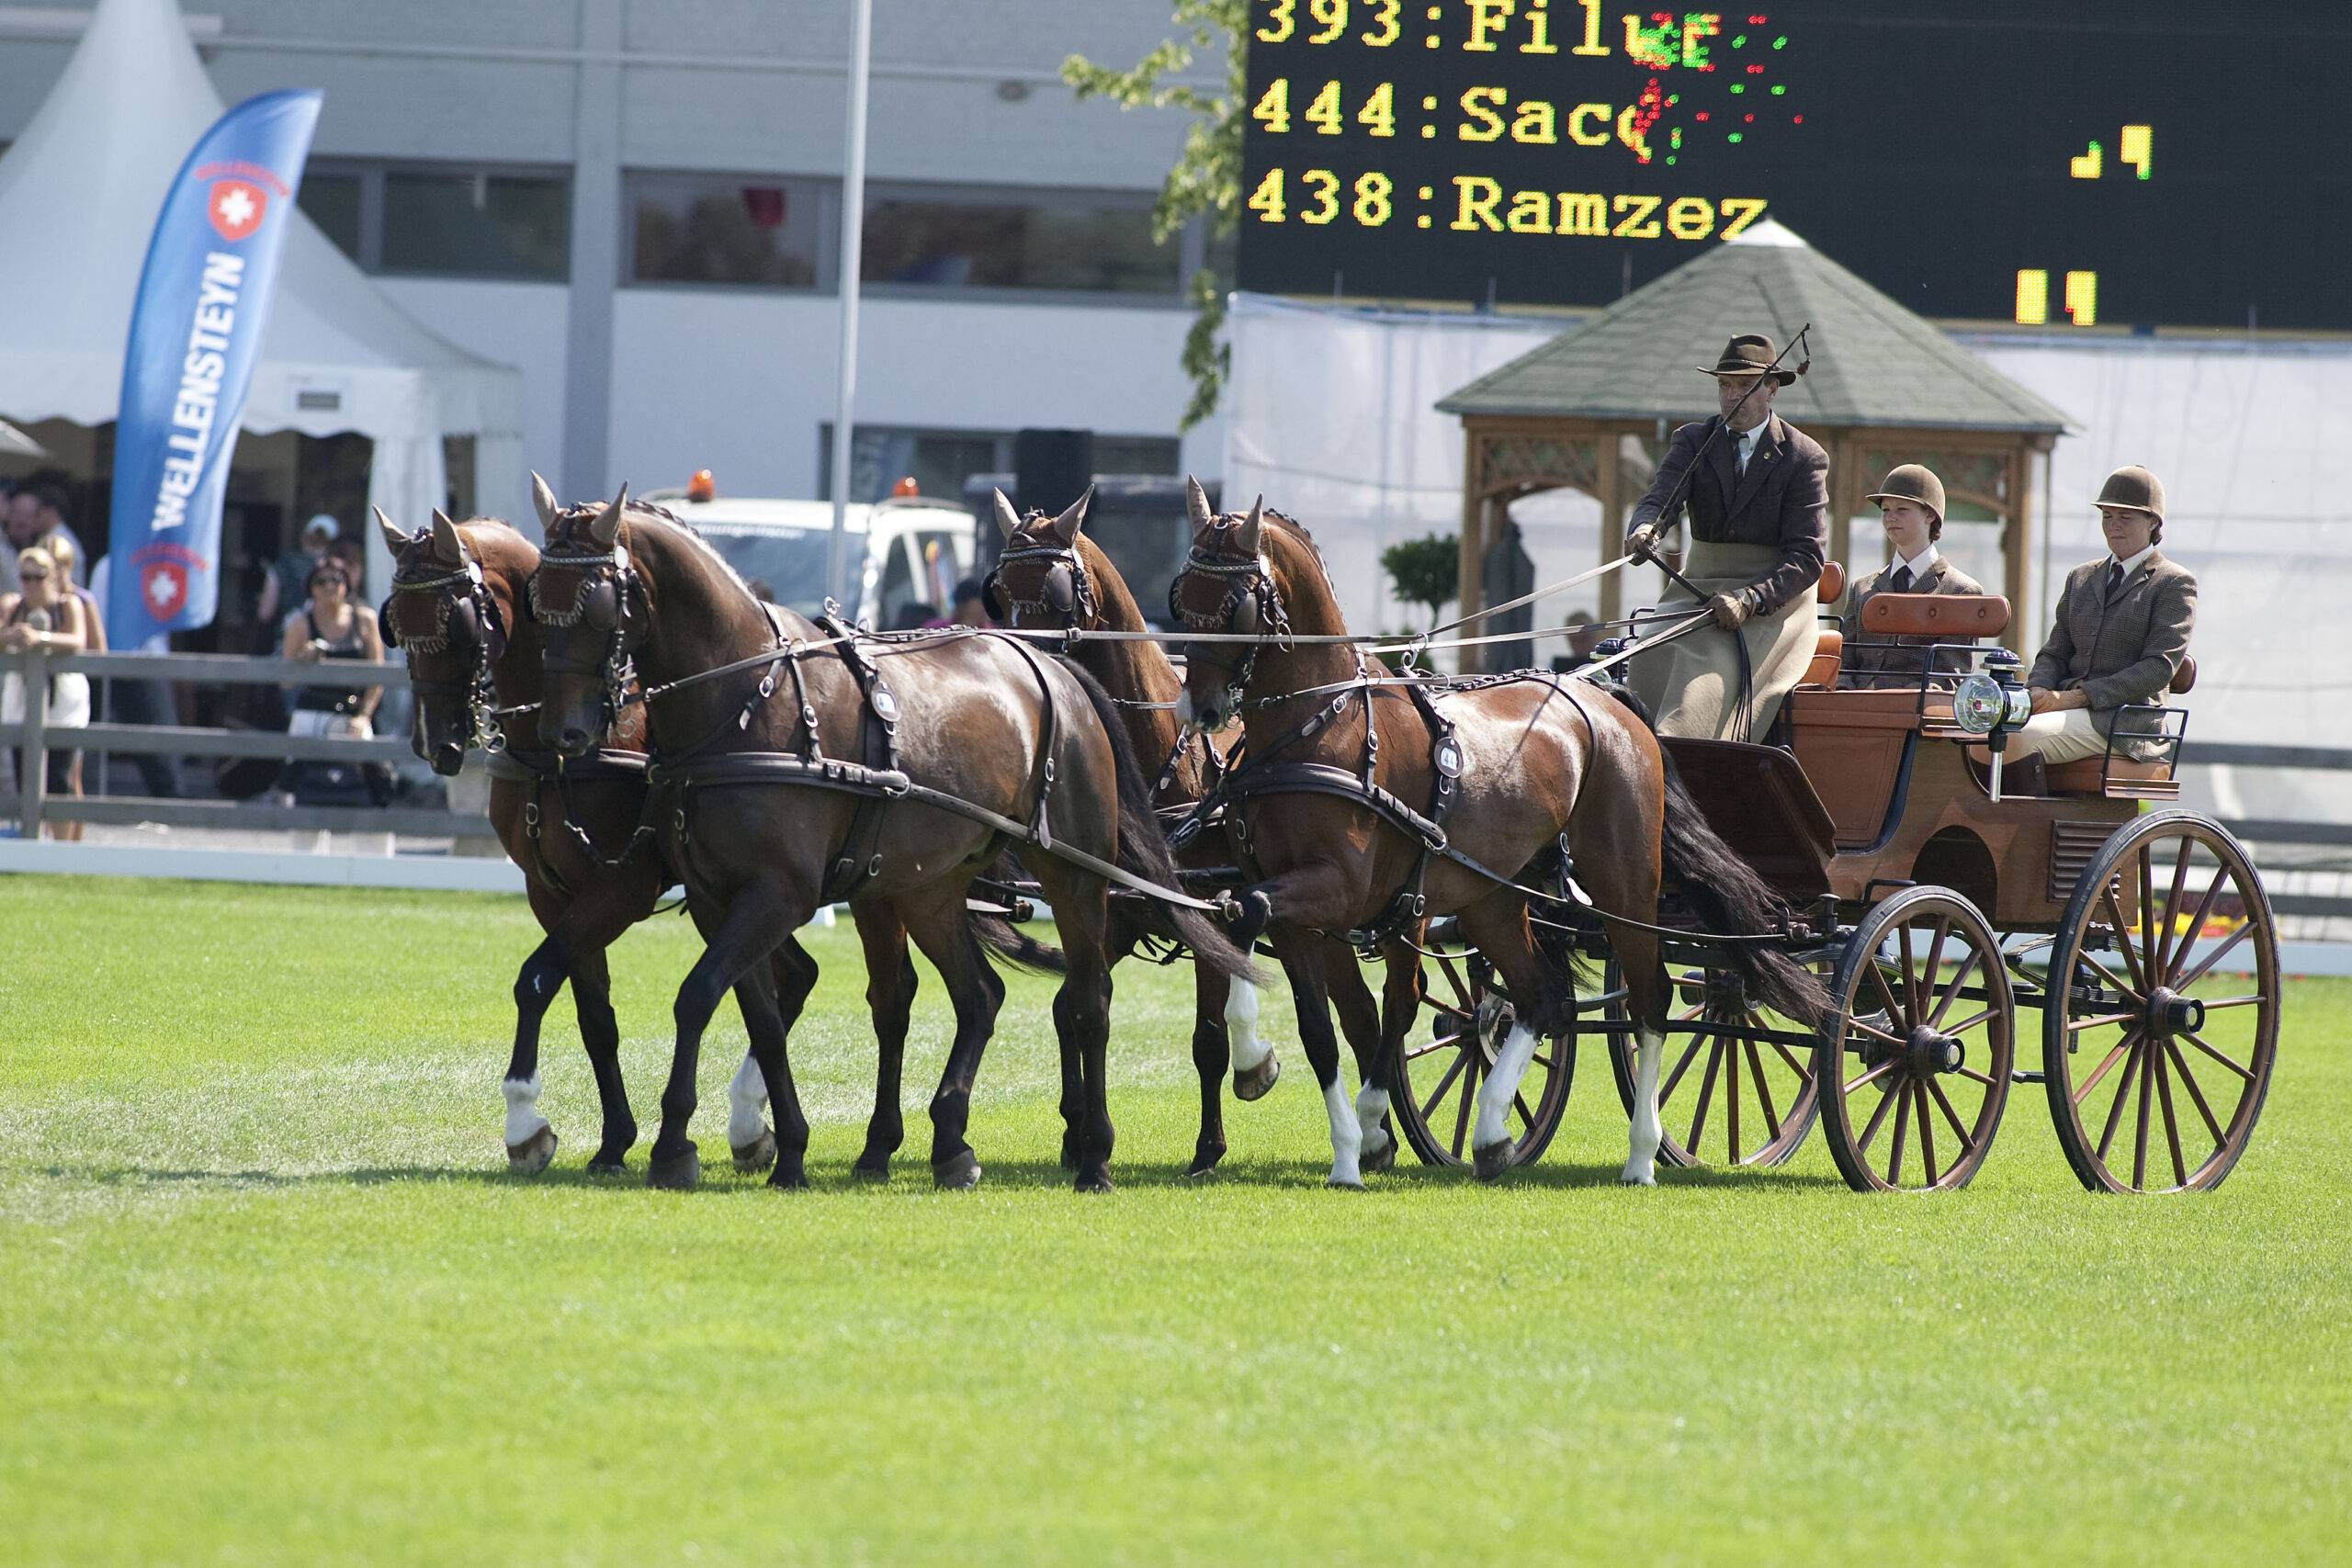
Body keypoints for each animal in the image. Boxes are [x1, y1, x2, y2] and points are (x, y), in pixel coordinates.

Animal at [376, 494, 1057, 1179]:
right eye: (395, 624)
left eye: (458, 621)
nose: (435, 743)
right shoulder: (553, 892)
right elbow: (587, 1010)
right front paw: (609, 1139)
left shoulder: (621, 886)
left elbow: (544, 978)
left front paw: (531, 1125)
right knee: (806, 980)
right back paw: (765, 1125)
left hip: (875, 889)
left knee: (889, 999)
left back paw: (853, 1138)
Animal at [530, 488, 1256, 1192]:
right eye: (540, 596)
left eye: (597, 601)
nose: (564, 731)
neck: (746, 698)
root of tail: (1058, 674)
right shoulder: (719, 898)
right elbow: (758, 1015)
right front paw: (785, 1148)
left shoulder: (779, 894)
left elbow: (698, 995)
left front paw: (675, 1141)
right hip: (929, 887)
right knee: (979, 995)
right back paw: (949, 1142)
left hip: (1072, 874)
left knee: (1088, 1001)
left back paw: (1095, 1155)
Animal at [989, 481, 1418, 1183]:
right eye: (998, 590)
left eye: (1055, 592)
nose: (1022, 668)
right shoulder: (1116, 914)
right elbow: (1070, 1007)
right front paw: (1077, 1130)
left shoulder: (1208, 914)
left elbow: (1209, 1039)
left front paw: (1210, 1141)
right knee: (1359, 1010)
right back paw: (1374, 1135)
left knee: (1384, 1005)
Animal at [1169, 496, 1827, 1185]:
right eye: (1181, 600)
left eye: (1237, 605)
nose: (1200, 710)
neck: (1324, 731)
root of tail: (1612, 703)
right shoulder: (1299, 910)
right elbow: (1303, 1005)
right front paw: (1336, 1138)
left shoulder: (1342, 890)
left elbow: (1266, 927)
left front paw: (1286, 1082)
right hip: (1492, 897)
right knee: (1542, 995)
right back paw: (1490, 1131)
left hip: (1623, 885)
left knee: (1650, 1001)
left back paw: (1642, 1154)